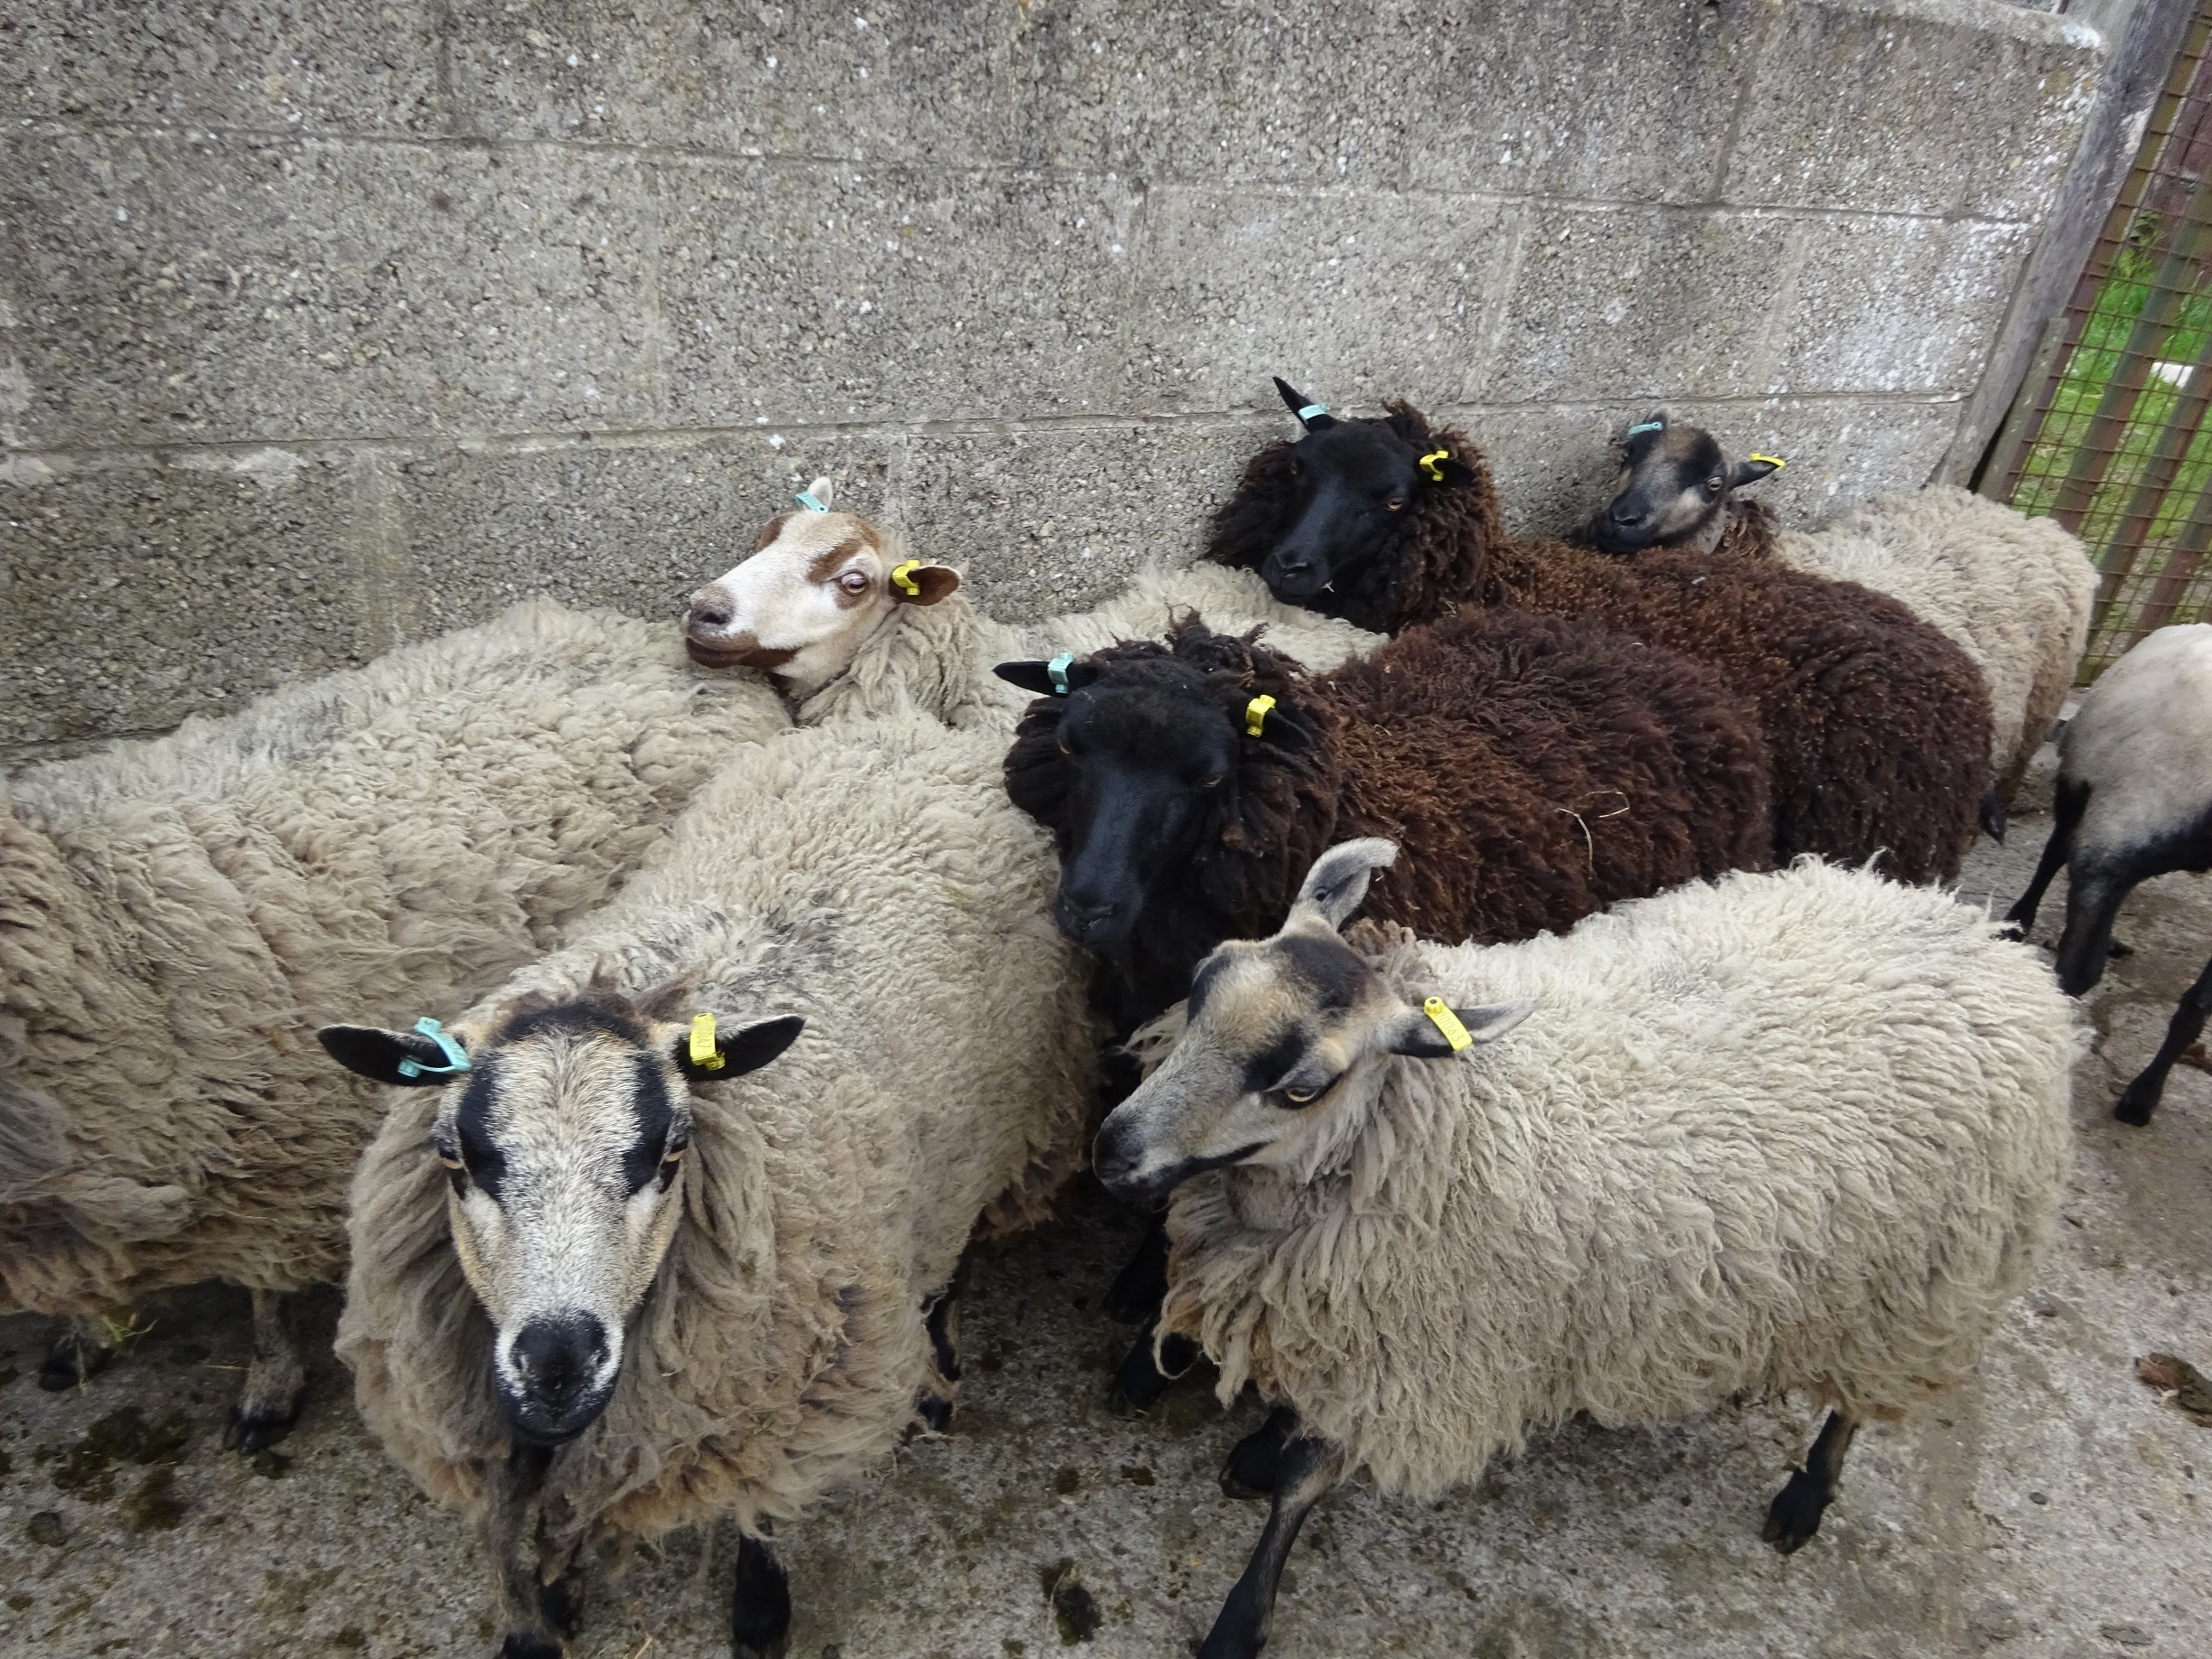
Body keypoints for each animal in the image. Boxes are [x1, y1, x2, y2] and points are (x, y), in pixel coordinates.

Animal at [0, 599, 788, 1448]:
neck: (95, 928)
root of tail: (639, 633)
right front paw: (81, 1337)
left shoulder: (271, 1167)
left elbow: (263, 1293)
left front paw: (266, 1388)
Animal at [325, 709, 1100, 1659]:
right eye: (454, 1158)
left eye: (669, 1156)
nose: (557, 1365)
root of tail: (914, 728)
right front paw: (544, 1607)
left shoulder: (785, 1391)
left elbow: (756, 1510)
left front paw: (760, 1609)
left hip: (1003, 1125)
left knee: (956, 1260)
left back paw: (938, 1375)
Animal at [1093, 840, 2079, 1659]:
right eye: (1203, 979)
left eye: (1302, 1084)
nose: (1113, 1149)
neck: (1412, 1125)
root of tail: (1985, 934)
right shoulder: (1340, 1314)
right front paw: (1262, 1444)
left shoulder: (1424, 1355)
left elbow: (1303, 1484)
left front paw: (1240, 1619)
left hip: (1920, 1286)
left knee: (1855, 1403)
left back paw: (1808, 1494)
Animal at [1585, 412, 2098, 808]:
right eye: (1630, 456)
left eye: (1713, 484)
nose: (1621, 520)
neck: (1766, 554)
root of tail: (2019, 515)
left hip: (2035, 718)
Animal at [2004, 623, 2212, 1123]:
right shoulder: (2110, 846)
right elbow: (2077, 971)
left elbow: (2197, 1004)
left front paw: (2144, 1096)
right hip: (2087, 794)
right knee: (2055, 851)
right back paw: (2020, 919)